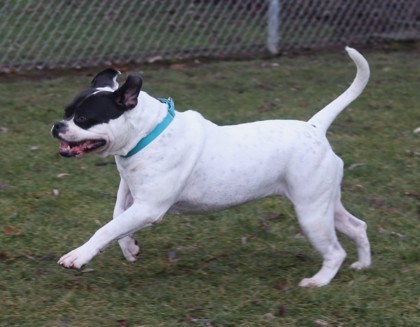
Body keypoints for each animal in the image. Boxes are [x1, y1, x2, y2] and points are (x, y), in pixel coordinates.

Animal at [51, 47, 370, 288]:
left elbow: (106, 229)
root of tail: (315, 128)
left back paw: (318, 281)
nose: (57, 126)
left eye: (83, 118)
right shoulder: (132, 193)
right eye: (66, 112)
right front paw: (129, 247)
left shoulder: (148, 208)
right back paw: (363, 265)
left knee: (335, 251)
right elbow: (117, 218)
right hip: (324, 204)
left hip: (311, 212)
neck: (147, 133)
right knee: (357, 226)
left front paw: (78, 256)